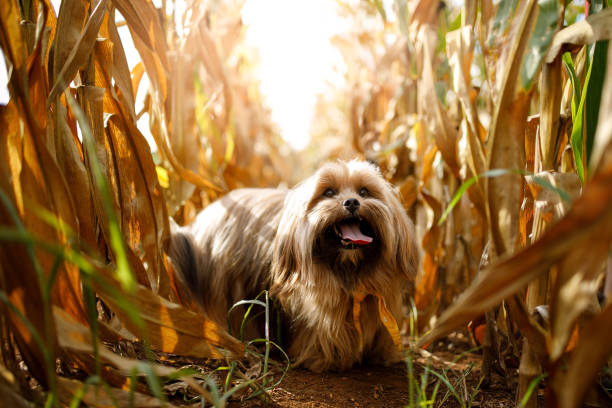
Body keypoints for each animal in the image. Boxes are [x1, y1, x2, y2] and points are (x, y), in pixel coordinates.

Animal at [167, 161, 416, 372]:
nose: (352, 202)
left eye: (364, 192)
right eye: (328, 193)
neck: (349, 270)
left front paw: (382, 355)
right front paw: (323, 358)